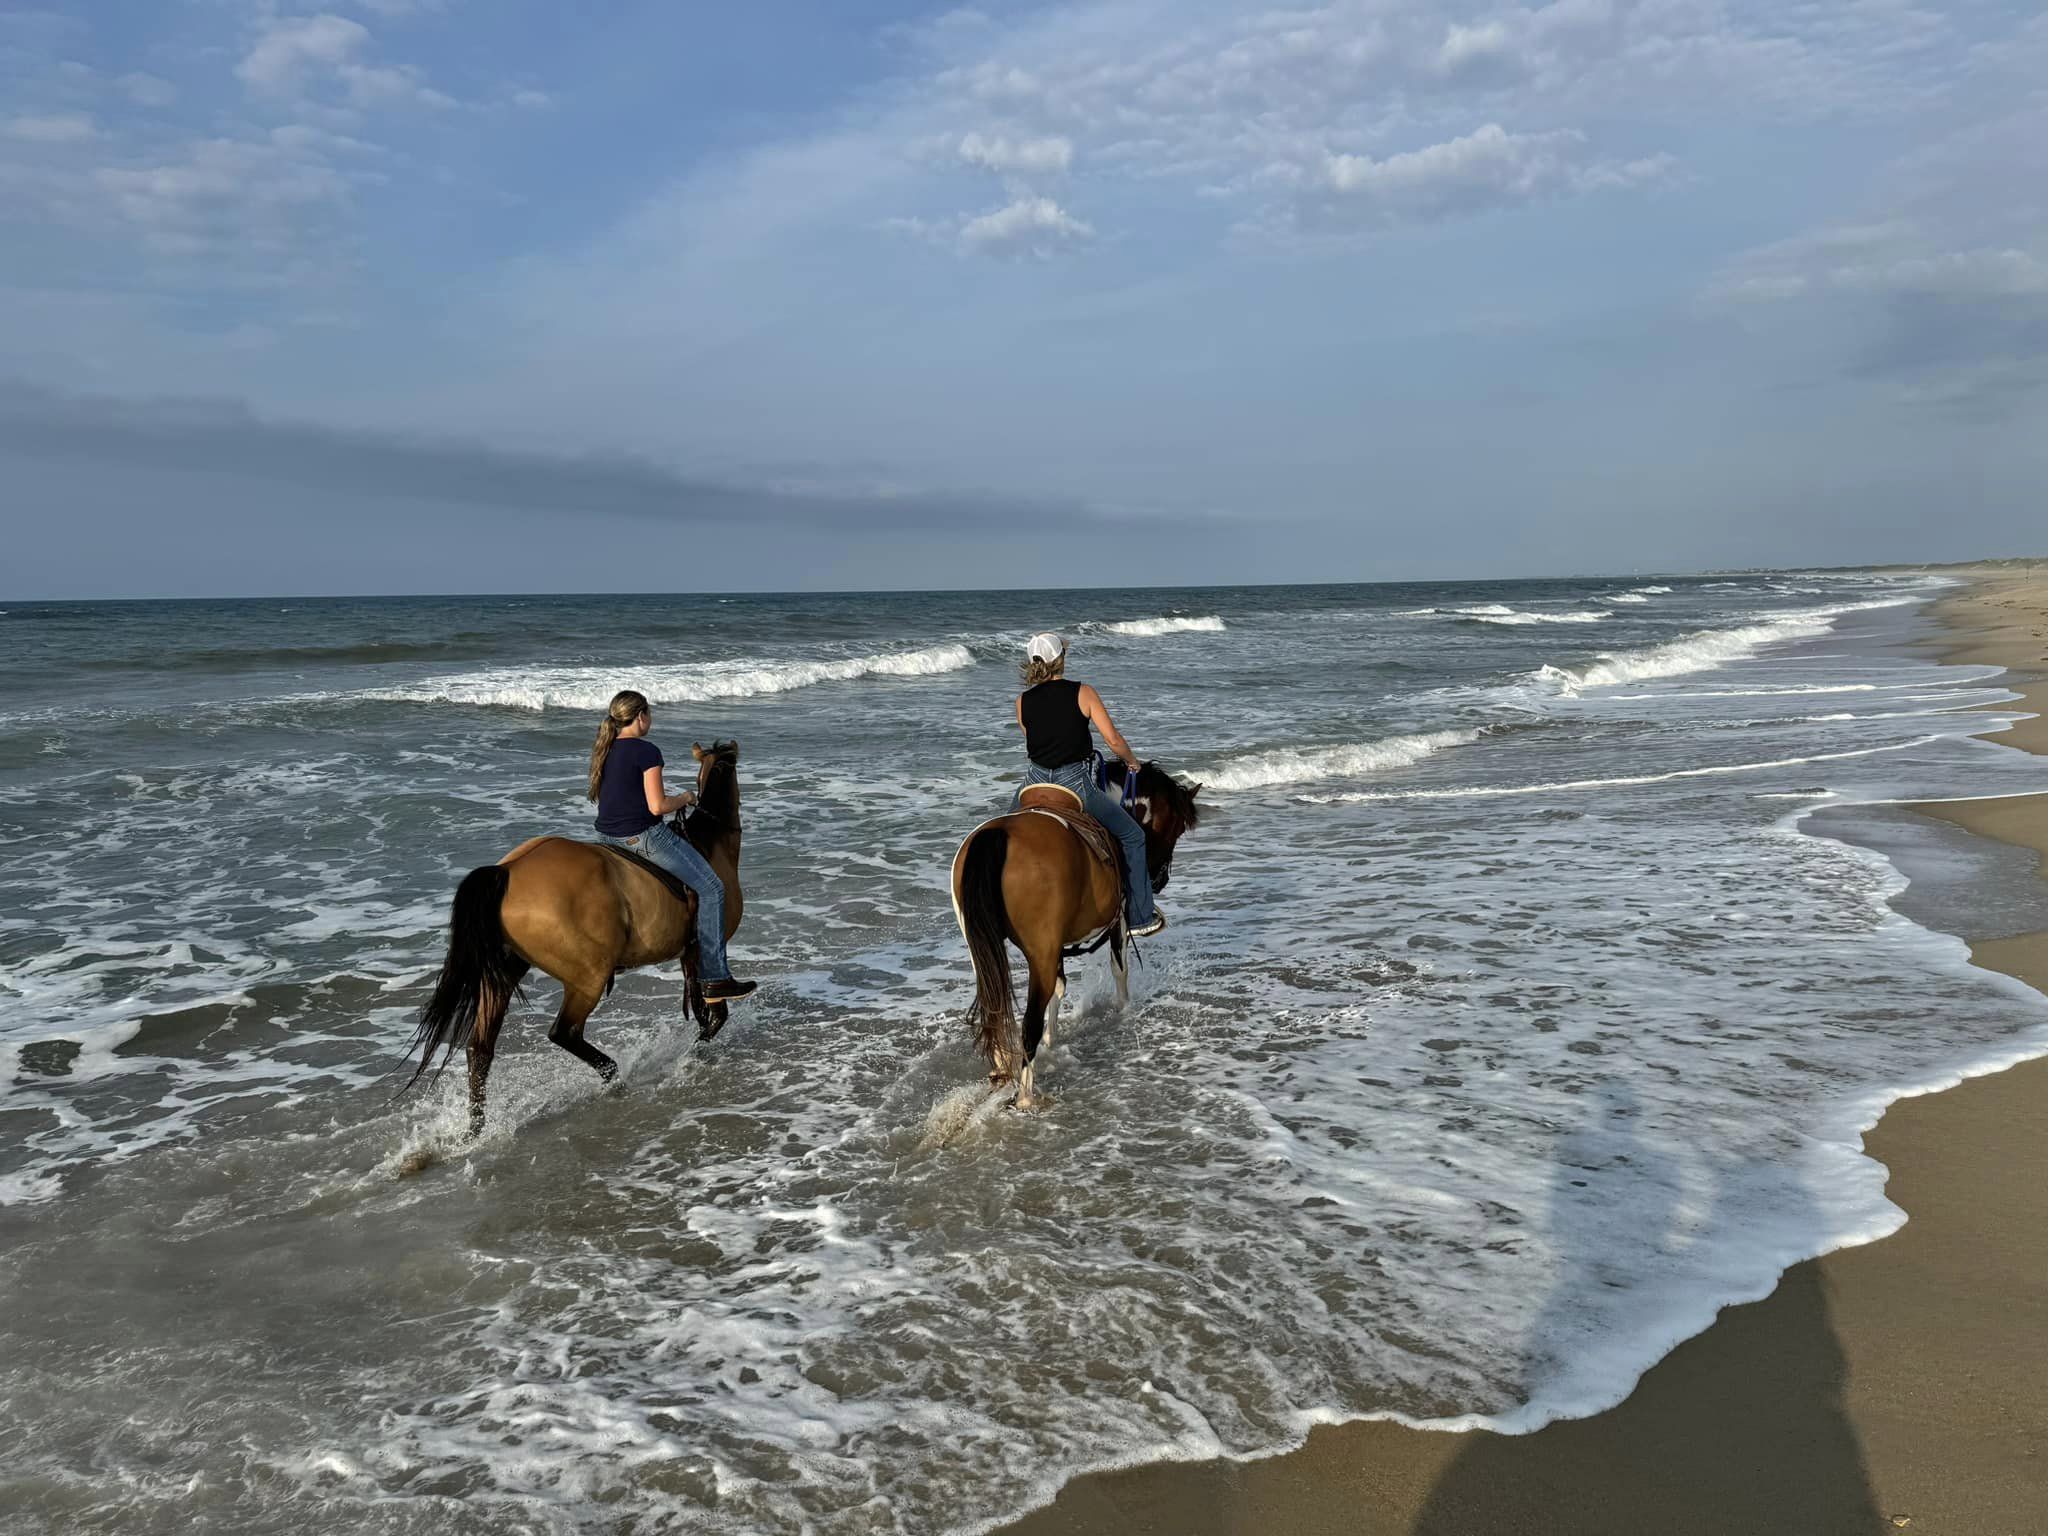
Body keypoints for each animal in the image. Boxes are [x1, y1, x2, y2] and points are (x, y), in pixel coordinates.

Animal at [403, 741, 749, 1138]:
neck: (711, 843)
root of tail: (507, 870)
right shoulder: (706, 950)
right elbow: (716, 1011)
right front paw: (694, 1053)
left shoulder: (689, 955)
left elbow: (703, 1009)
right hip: (587, 977)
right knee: (564, 1032)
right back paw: (614, 1078)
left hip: (502, 974)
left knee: (480, 1050)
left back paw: (475, 1131)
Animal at [946, 765, 1196, 1105]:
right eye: (1178, 828)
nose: (1160, 880)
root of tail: (997, 836)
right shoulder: (1117, 920)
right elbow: (1119, 970)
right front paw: (1124, 1013)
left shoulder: (1057, 944)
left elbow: (1059, 988)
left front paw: (1053, 1040)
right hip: (1040, 952)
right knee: (1029, 1022)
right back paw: (1025, 1097)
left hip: (983, 950)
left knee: (993, 1006)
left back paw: (1000, 1072)